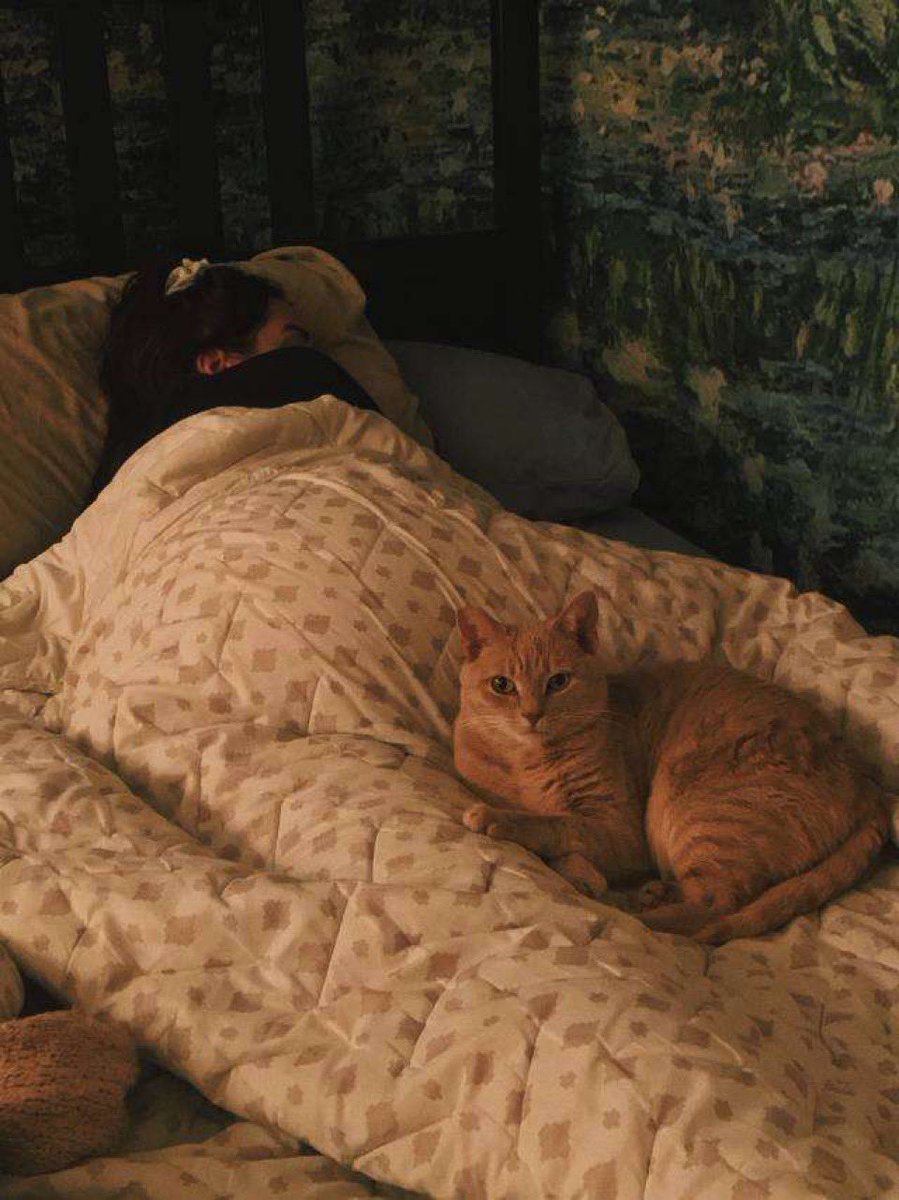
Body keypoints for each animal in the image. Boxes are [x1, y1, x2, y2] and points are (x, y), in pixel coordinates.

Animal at [453, 589, 891, 943]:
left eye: (558, 681)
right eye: (502, 685)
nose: (532, 715)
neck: (527, 764)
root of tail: (872, 789)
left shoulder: (621, 831)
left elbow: (558, 825)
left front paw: (499, 819)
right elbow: (561, 833)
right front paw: (579, 870)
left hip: (690, 806)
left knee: (716, 904)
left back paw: (634, 910)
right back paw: (654, 893)